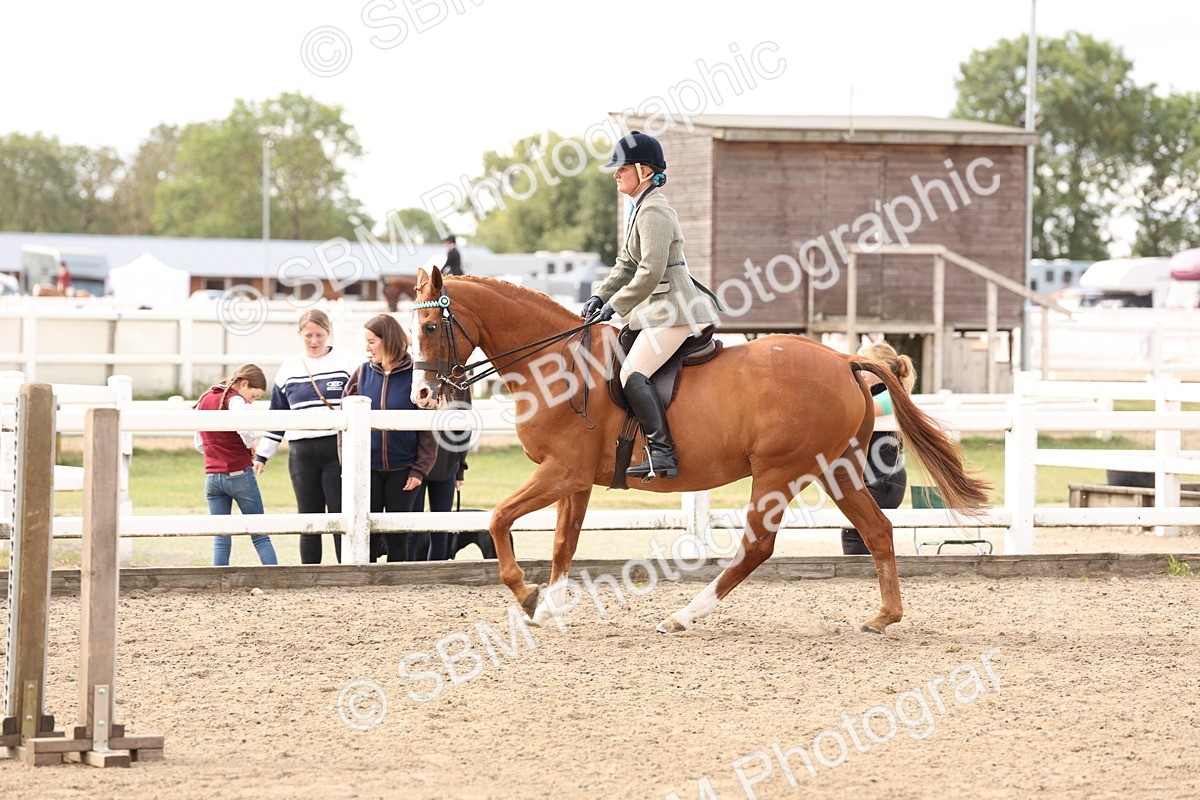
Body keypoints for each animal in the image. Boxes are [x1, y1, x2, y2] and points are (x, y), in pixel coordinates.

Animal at [409, 267, 990, 634]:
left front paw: (527, 597)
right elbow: (562, 546)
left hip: (779, 472)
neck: (557, 364)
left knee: (757, 547)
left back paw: (683, 616)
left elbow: (499, 518)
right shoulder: (575, 480)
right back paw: (884, 617)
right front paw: (548, 606)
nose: (422, 395)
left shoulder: (561, 472)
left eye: (431, 326)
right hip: (837, 469)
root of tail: (844, 360)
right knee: (878, 531)